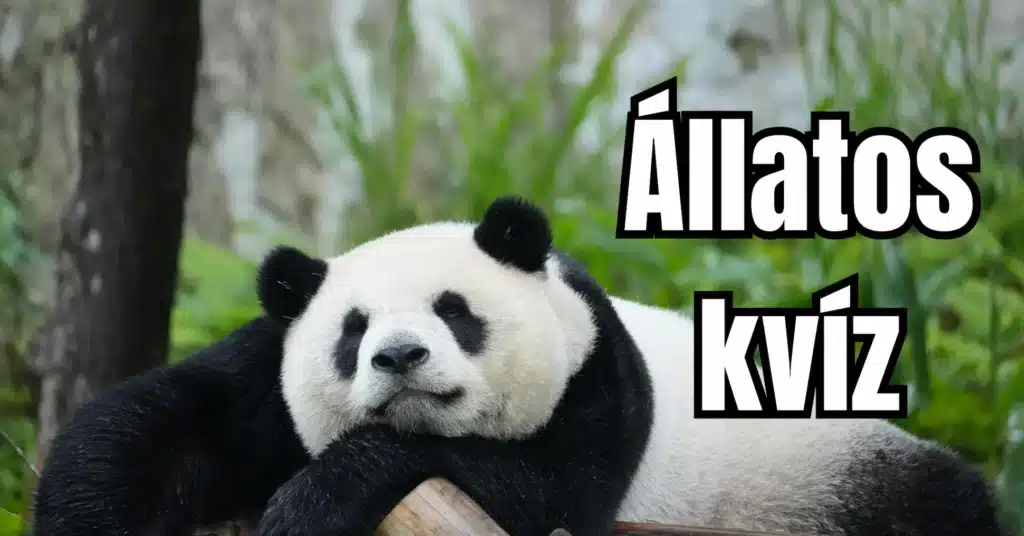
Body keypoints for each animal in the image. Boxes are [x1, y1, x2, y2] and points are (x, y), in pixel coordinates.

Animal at [253, 196, 1006, 536]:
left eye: (456, 311)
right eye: (353, 331)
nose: (402, 356)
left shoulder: (600, 376)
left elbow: (543, 490)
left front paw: (313, 501)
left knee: (939, 499)